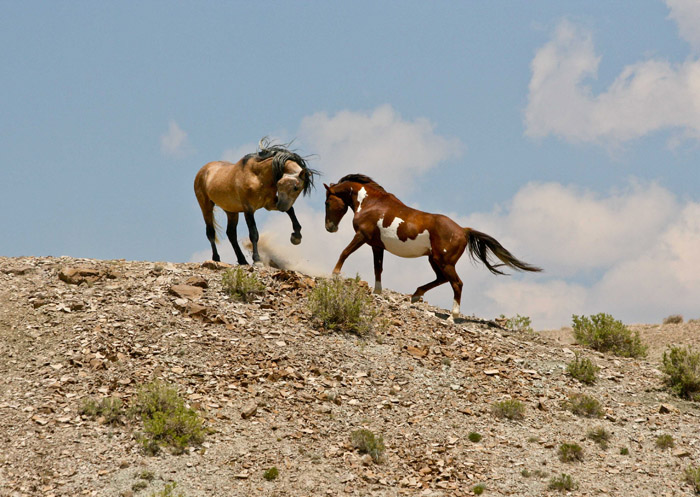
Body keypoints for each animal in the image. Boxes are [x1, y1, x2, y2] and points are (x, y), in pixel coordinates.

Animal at [194, 138, 320, 266]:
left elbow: (291, 211)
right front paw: (257, 260)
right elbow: (254, 233)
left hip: (231, 211)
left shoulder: (270, 204)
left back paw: (242, 260)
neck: (257, 176)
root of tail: (204, 170)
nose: (281, 206)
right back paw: (216, 258)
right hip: (206, 206)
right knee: (211, 233)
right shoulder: (248, 209)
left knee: (231, 234)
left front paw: (296, 237)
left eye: (297, 188)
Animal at [322, 174, 540, 320]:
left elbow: (345, 252)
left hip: (444, 262)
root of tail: (463, 230)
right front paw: (377, 292)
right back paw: (416, 295)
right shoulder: (377, 245)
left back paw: (452, 317)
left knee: (457, 283)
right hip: (434, 259)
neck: (371, 203)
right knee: (442, 279)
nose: (329, 228)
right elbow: (378, 268)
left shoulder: (362, 236)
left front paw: (335, 274)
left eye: (327, 202)